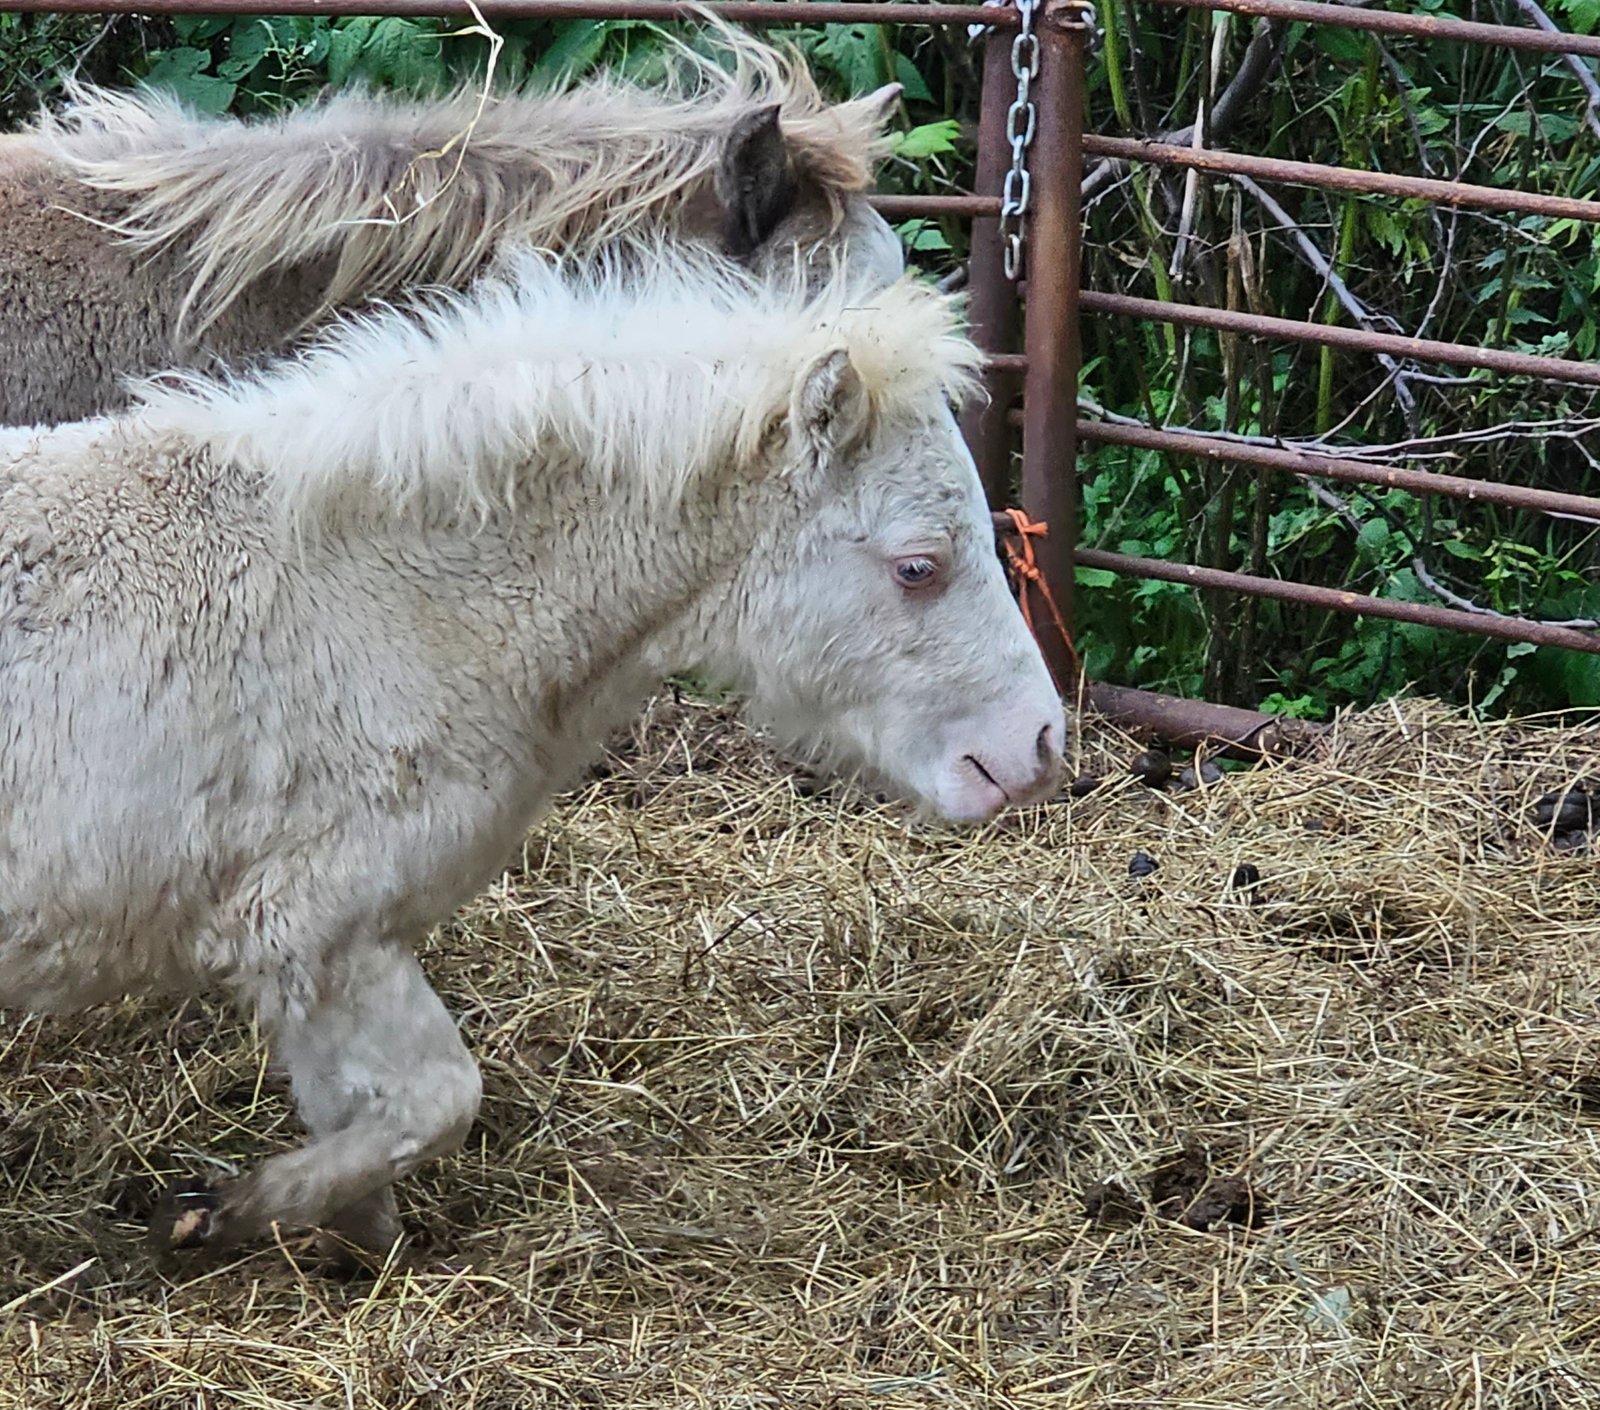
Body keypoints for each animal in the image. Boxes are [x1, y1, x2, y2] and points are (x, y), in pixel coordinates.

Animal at [0, 236, 1062, 1261]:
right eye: (918, 567)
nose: (1038, 746)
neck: (391, 599)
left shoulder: (317, 953)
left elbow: (362, 1119)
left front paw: (342, 1243)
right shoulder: (320, 924)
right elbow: (440, 1100)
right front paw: (220, 1212)